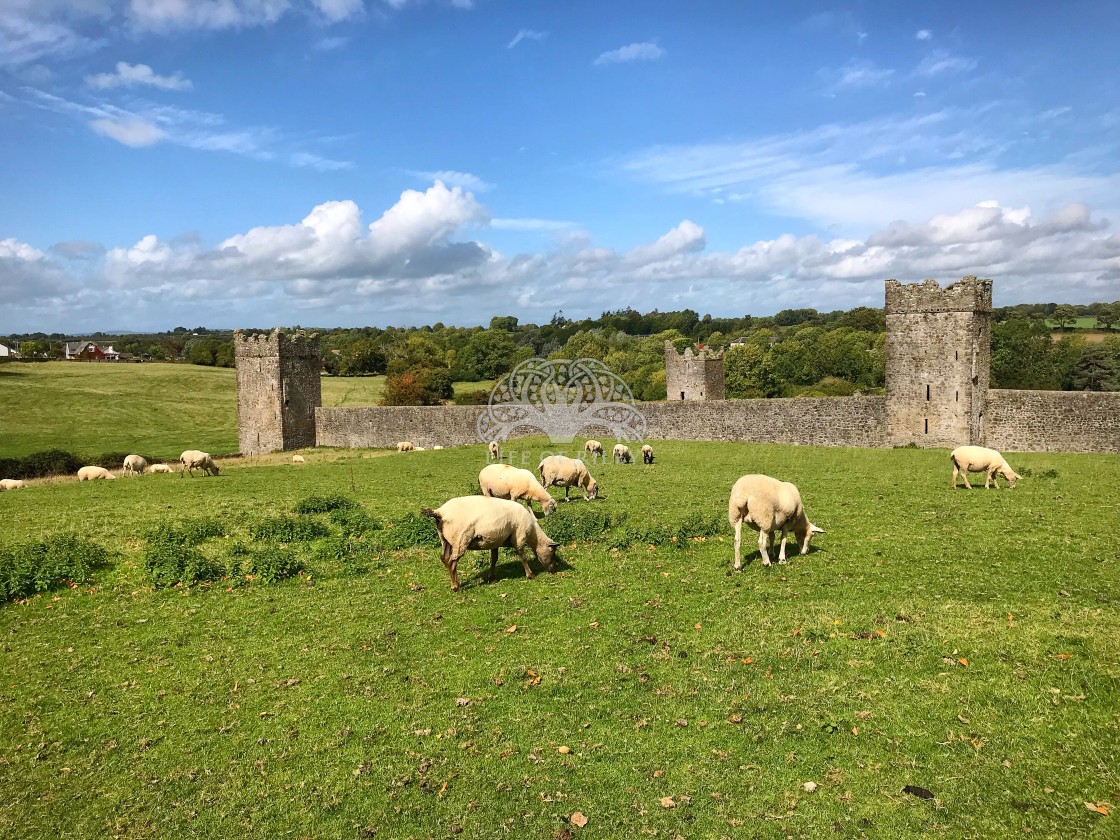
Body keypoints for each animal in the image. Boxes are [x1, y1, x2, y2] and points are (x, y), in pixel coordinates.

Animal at [421, 497, 560, 595]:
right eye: (553, 552)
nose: (553, 569)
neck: (533, 533)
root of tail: (440, 512)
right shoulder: (519, 537)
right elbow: (523, 556)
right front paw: (530, 575)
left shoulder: (495, 541)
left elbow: (494, 559)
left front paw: (492, 578)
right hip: (460, 539)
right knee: (452, 562)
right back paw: (456, 587)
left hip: (446, 540)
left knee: (444, 558)